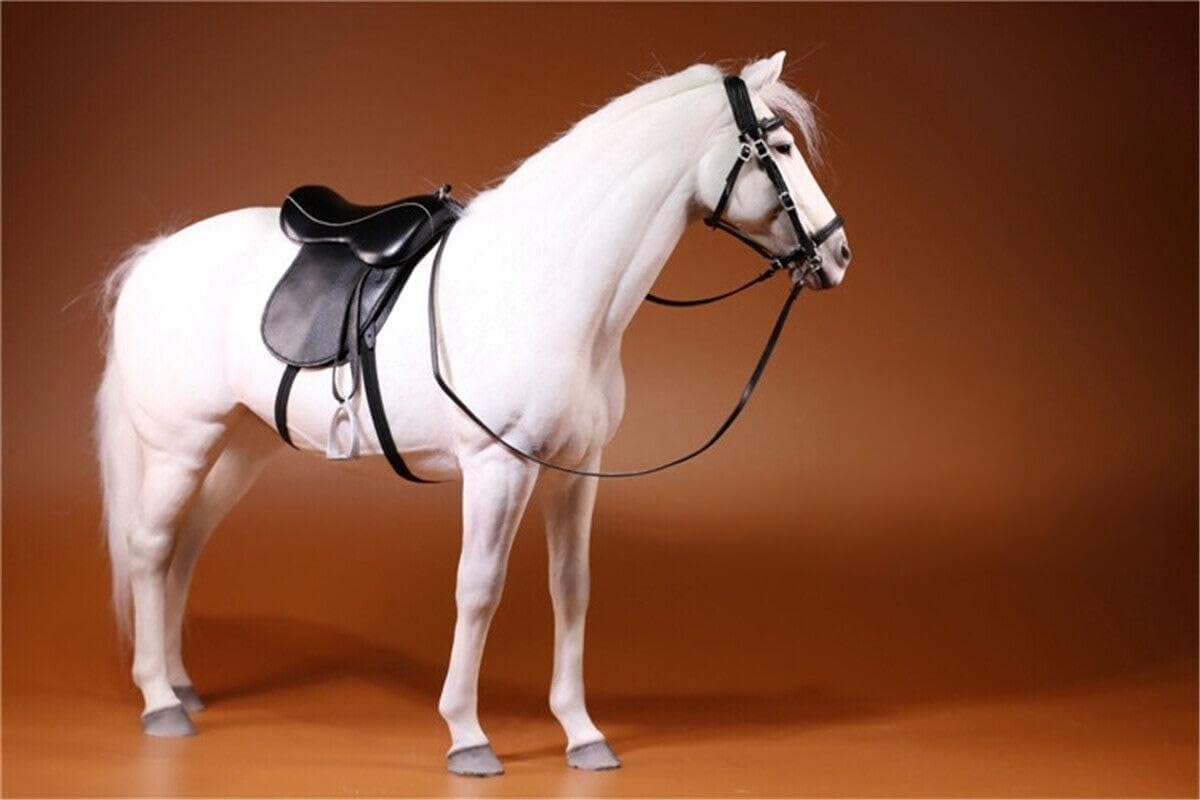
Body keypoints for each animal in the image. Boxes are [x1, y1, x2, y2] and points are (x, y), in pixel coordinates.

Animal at [95, 51, 850, 776]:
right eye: (781, 146)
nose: (839, 253)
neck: (545, 282)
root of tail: (152, 257)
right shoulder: (498, 467)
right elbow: (479, 588)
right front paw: (466, 735)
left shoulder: (576, 468)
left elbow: (571, 588)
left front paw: (581, 733)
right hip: (182, 446)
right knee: (150, 544)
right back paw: (160, 699)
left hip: (242, 445)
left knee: (188, 542)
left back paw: (181, 682)